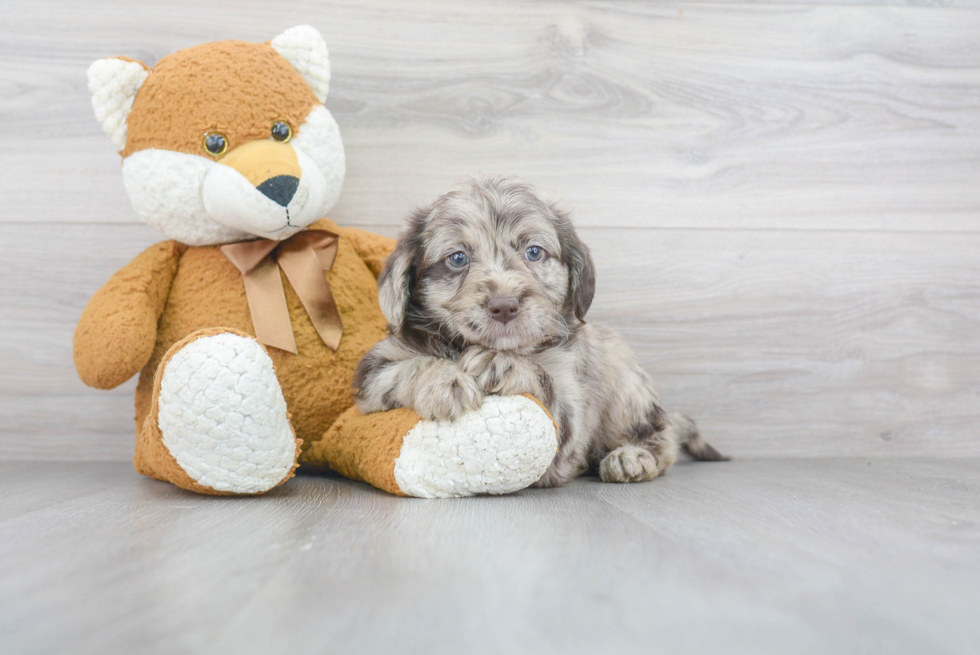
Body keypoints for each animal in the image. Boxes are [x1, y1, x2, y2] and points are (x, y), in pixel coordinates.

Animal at [356, 177, 724, 484]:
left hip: (627, 389)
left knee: (662, 437)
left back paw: (632, 457)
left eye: (533, 252)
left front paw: (502, 362)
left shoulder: (570, 411)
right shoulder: (372, 375)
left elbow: (544, 379)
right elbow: (409, 367)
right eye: (457, 258)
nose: (504, 305)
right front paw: (444, 380)